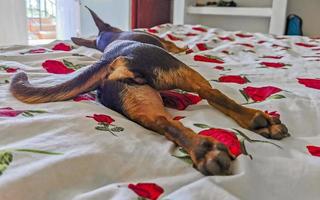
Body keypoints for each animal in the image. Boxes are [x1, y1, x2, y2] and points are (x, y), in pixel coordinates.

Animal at [10, 7, 290, 175]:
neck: (110, 38)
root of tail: (110, 58)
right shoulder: (169, 50)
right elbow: (174, 44)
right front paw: (184, 46)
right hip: (183, 73)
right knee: (214, 96)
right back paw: (258, 120)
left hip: (139, 102)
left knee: (164, 122)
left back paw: (202, 149)